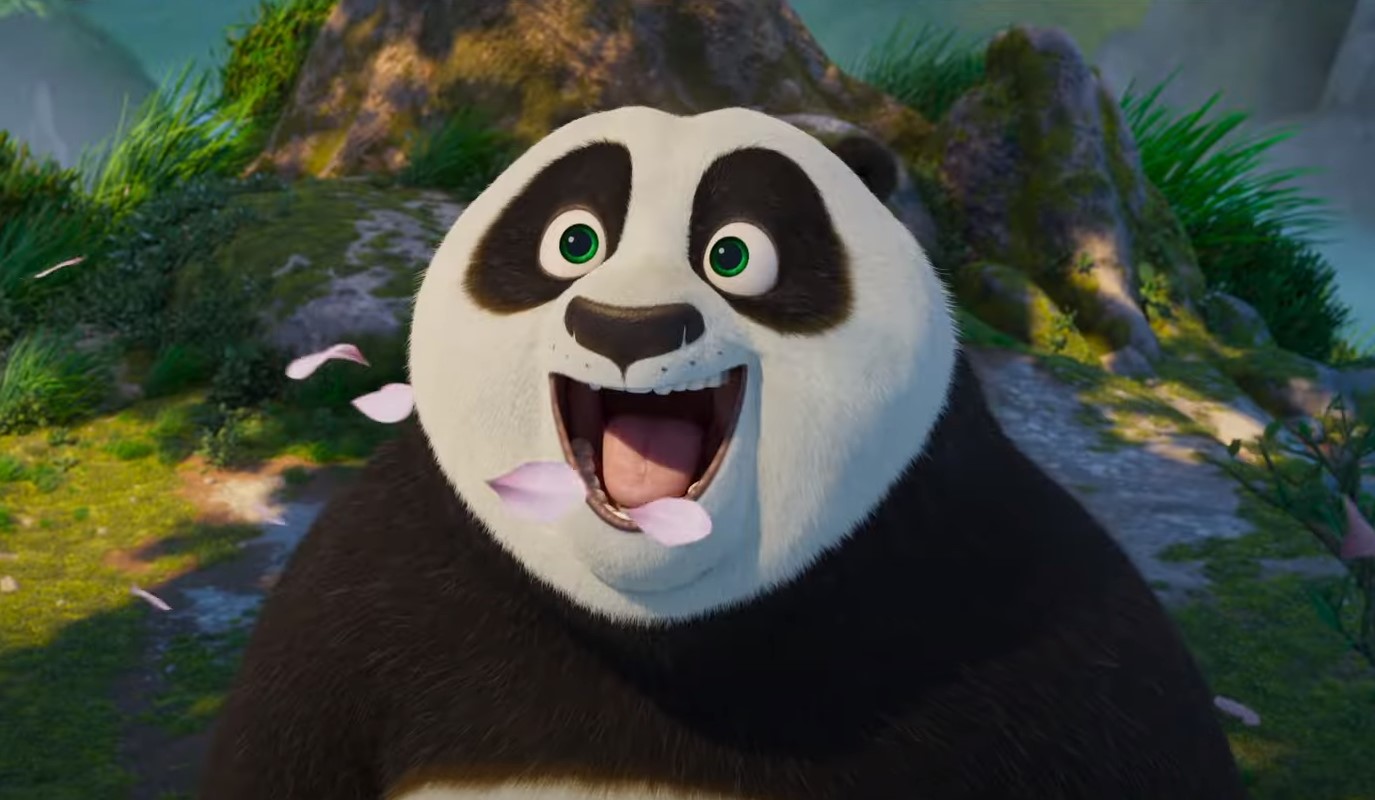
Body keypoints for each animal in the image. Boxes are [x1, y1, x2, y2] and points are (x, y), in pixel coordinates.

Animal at [198, 106, 1246, 799]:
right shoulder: (367, 596)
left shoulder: (1025, 606)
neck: (660, 627)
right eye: (573, 242)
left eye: (734, 254)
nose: (628, 327)